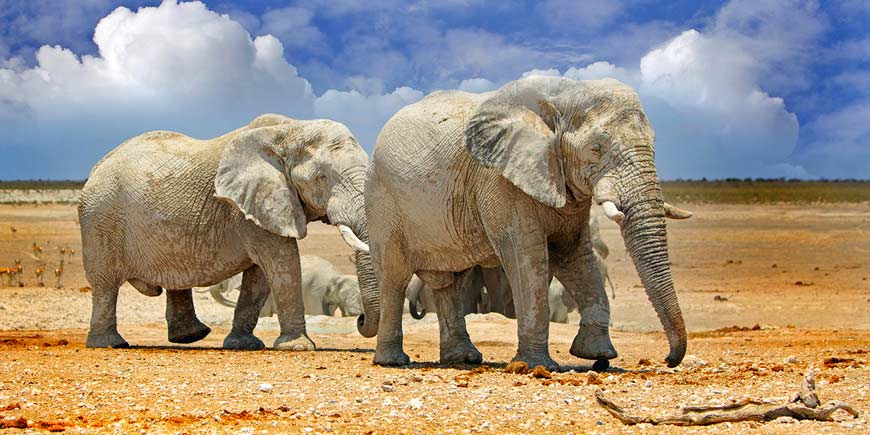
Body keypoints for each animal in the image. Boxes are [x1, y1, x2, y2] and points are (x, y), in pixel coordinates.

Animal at [362, 76, 696, 372]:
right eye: (596, 150)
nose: (669, 359)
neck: (563, 96)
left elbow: (576, 256)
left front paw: (598, 355)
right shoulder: (499, 181)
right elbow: (526, 255)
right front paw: (536, 365)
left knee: (450, 284)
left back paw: (464, 359)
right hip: (382, 202)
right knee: (394, 276)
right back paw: (393, 361)